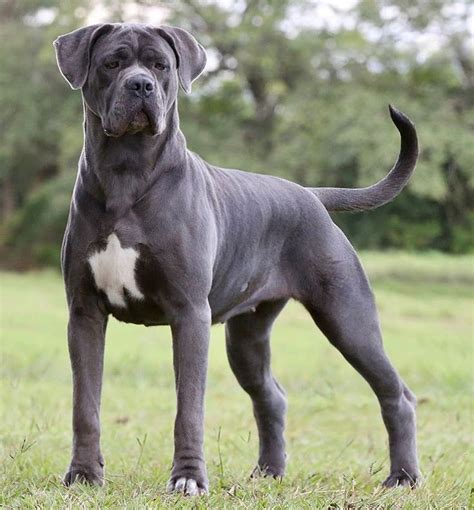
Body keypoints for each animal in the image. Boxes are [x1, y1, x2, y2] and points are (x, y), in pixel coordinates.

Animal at [53, 22, 420, 494]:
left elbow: (189, 408)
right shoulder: (84, 313)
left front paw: (188, 479)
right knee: (272, 396)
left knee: (396, 393)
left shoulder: (189, 314)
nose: (141, 85)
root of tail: (311, 195)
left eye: (161, 65)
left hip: (348, 317)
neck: (126, 173)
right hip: (248, 337)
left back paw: (404, 476)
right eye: (112, 63)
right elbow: (86, 404)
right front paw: (83, 475)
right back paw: (269, 472)